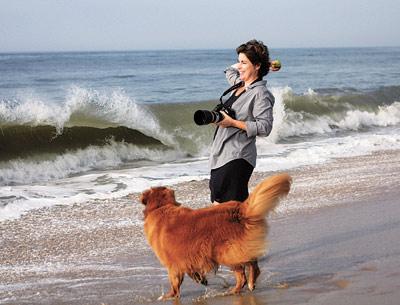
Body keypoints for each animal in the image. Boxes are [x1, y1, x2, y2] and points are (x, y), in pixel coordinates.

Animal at [140, 172, 290, 298]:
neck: (160, 207)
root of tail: (240, 210)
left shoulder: (172, 264)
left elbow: (174, 283)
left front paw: (169, 296)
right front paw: (200, 279)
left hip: (224, 252)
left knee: (244, 273)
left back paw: (237, 289)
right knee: (252, 265)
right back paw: (247, 284)